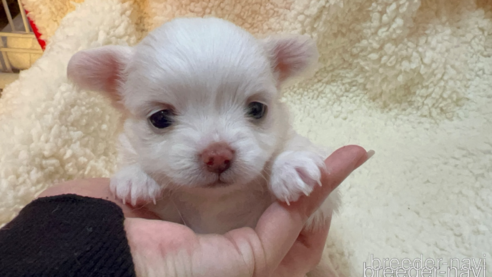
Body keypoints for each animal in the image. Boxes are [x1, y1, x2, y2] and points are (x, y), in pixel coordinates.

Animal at [68, 17, 338, 274]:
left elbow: (294, 152)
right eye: (160, 118)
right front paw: (136, 176)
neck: (213, 202)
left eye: (257, 109)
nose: (218, 156)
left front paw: (291, 165)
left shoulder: (319, 210)